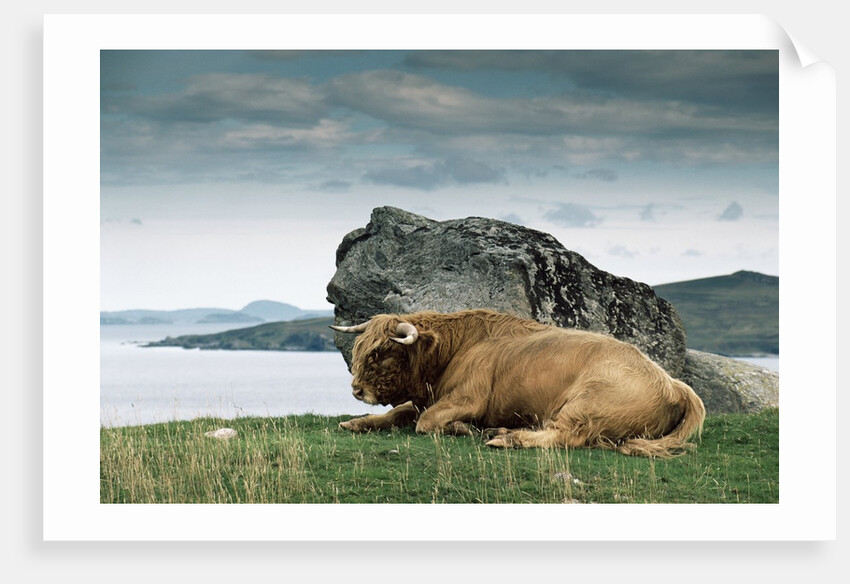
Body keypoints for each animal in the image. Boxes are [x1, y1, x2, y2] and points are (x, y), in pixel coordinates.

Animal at [331, 309, 705, 458]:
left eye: (381, 352)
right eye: (361, 347)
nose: (356, 389)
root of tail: (672, 383)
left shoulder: (467, 398)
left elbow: (425, 422)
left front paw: (464, 428)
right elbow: (399, 413)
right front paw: (356, 422)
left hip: (587, 403)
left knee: (566, 435)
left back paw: (505, 438)